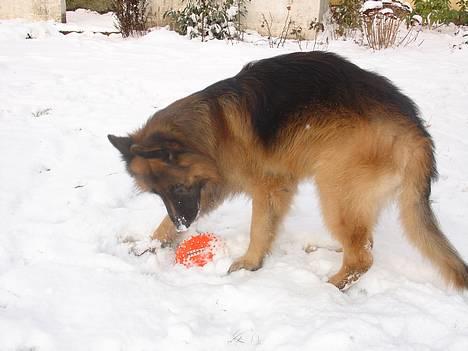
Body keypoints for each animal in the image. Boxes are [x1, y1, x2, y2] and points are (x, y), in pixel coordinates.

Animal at [109, 51, 468, 290]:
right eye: (158, 193)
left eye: (177, 188)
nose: (185, 224)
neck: (211, 129)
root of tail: (415, 129)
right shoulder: (209, 190)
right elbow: (165, 223)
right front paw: (149, 244)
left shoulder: (267, 189)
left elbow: (259, 228)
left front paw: (250, 263)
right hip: (350, 197)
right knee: (364, 244)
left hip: (335, 190)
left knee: (361, 258)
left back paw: (329, 287)